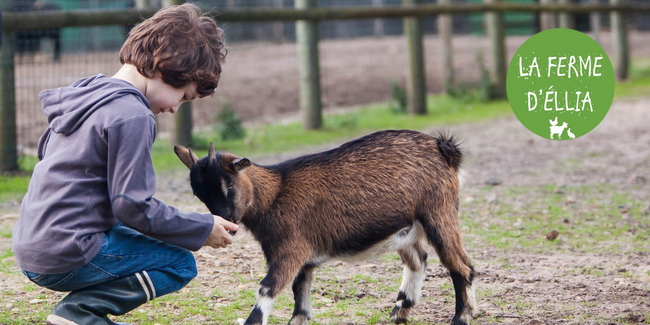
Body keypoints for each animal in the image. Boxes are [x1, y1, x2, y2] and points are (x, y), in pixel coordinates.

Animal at [175, 129, 474, 324]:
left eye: (229, 185)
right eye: (198, 194)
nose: (227, 224)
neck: (275, 193)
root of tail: (443, 148)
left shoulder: (290, 250)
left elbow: (267, 289)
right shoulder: (304, 259)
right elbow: (300, 300)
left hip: (439, 213)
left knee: (461, 266)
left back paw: (460, 317)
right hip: (406, 230)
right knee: (419, 261)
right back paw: (399, 313)